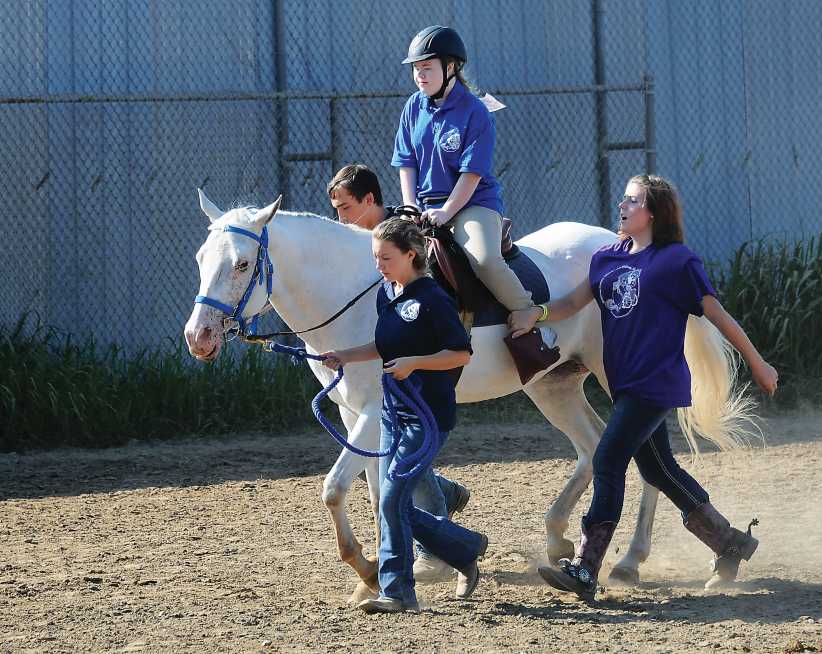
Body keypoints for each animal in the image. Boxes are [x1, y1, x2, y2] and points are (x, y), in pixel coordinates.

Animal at [183, 191, 756, 596]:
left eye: (241, 264)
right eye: (200, 258)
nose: (199, 337)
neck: (360, 295)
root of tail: (621, 249)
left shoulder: (371, 411)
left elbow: (335, 489)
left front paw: (368, 568)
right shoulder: (352, 416)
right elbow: (376, 489)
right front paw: (394, 569)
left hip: (618, 381)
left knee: (645, 459)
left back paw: (632, 559)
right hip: (553, 385)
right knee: (594, 448)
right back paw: (559, 537)